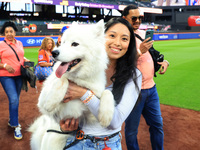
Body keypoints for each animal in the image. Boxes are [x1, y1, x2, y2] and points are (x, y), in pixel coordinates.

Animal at [28, 20, 115, 150]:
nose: (54, 52)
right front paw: (50, 102)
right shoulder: (41, 101)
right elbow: (63, 80)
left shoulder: (89, 113)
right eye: (63, 42)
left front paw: (106, 116)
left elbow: (107, 92)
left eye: (75, 44)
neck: (79, 78)